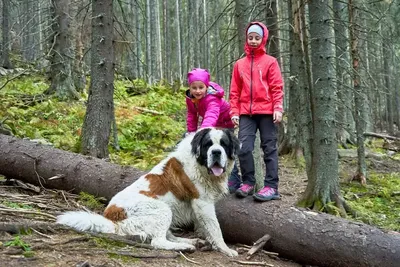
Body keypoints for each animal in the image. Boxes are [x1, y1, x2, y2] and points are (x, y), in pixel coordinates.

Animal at [55, 127, 238, 258]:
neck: (199, 164)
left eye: (223, 144)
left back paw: (190, 241)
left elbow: (205, 226)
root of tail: (111, 217)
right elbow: (215, 228)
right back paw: (184, 246)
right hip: (161, 209)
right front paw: (225, 249)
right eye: (208, 144)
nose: (216, 152)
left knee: (166, 235)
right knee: (158, 241)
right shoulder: (203, 203)